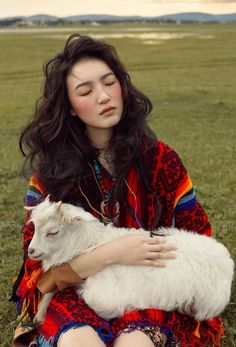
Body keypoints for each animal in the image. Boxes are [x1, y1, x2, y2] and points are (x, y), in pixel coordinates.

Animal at [26, 198, 233, 326]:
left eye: (53, 232)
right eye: (34, 227)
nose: (31, 251)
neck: (92, 244)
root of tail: (227, 260)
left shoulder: (105, 297)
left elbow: (93, 301)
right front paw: (39, 314)